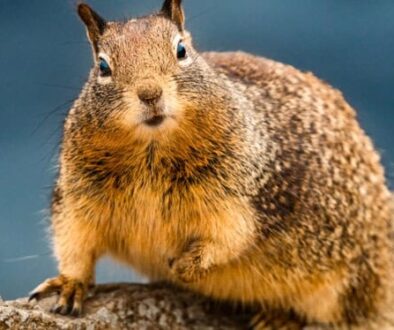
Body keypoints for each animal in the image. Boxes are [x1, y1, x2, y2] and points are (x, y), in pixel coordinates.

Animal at [29, 1, 392, 328]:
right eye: (103, 66)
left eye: (181, 49)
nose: (150, 93)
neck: (151, 152)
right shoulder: (76, 196)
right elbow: (74, 241)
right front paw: (69, 284)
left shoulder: (240, 195)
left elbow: (228, 238)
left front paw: (183, 266)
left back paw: (279, 318)